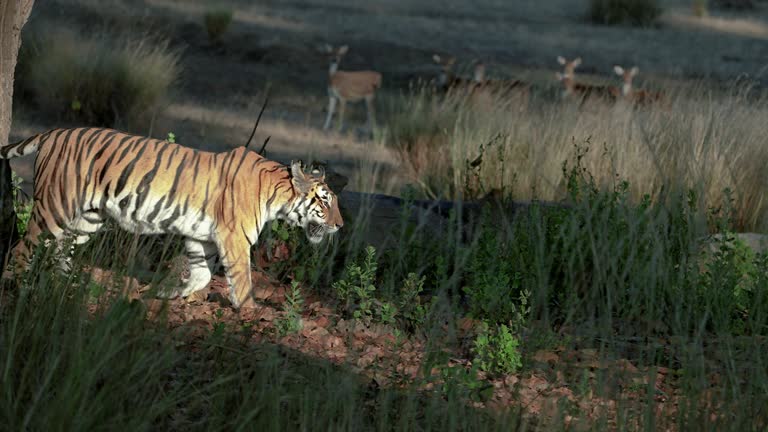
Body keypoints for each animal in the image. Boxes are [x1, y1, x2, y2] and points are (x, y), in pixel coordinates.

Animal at [0, 126, 342, 308]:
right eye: (325, 200)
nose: (340, 225)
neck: (276, 191)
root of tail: (53, 132)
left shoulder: (202, 237)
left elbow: (202, 276)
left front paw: (166, 293)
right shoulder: (234, 239)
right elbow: (242, 279)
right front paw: (250, 313)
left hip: (86, 219)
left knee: (59, 248)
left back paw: (65, 284)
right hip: (55, 206)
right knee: (22, 247)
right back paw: (17, 288)